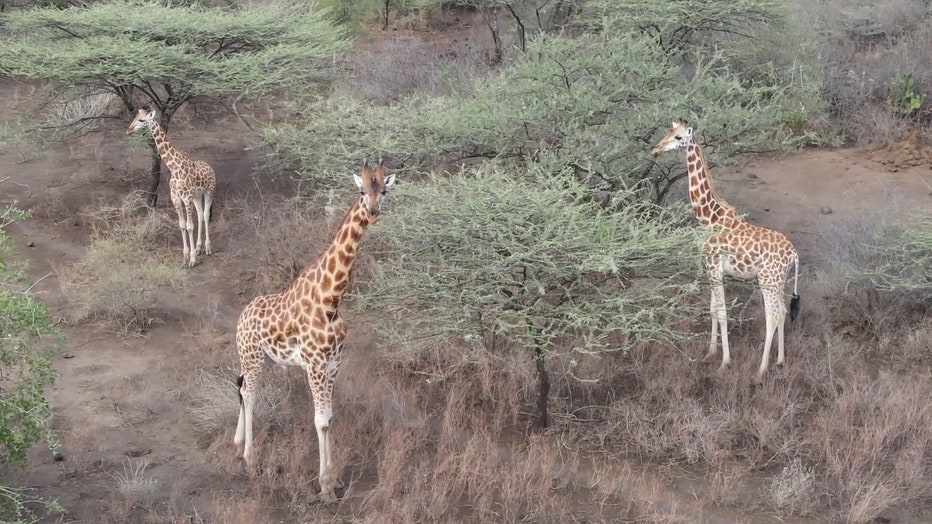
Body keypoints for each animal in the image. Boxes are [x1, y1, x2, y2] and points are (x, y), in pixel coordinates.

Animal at [127, 107, 216, 268]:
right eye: (135, 117)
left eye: (141, 120)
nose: (128, 130)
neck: (174, 167)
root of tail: (210, 167)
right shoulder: (176, 197)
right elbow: (182, 225)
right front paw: (186, 257)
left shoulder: (186, 197)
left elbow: (189, 226)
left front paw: (192, 260)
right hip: (197, 196)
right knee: (200, 214)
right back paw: (199, 248)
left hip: (209, 191)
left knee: (206, 214)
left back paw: (207, 248)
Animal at [233, 159, 396, 502]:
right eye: (362, 191)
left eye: (384, 191)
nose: (373, 213)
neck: (331, 299)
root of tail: (242, 315)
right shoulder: (315, 366)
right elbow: (320, 421)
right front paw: (324, 486)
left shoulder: (333, 365)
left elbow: (329, 418)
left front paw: (333, 480)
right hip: (252, 356)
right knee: (250, 393)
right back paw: (250, 458)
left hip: (262, 358)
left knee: (241, 388)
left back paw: (238, 443)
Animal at [652, 121, 800, 382]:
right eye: (668, 132)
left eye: (678, 137)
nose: (656, 150)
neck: (708, 217)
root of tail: (794, 254)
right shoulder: (713, 271)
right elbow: (713, 310)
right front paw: (710, 353)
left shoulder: (714, 267)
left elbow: (722, 313)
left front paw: (725, 363)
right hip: (780, 280)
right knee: (782, 311)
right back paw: (780, 361)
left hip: (767, 280)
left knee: (773, 316)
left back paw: (761, 370)